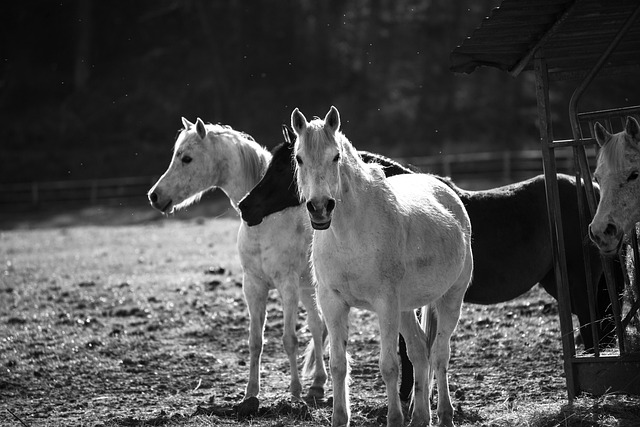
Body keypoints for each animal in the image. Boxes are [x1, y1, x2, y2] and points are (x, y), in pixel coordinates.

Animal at [147, 117, 328, 415]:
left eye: (186, 158)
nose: (155, 196)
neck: (267, 219)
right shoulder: (253, 286)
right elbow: (255, 342)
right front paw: (250, 396)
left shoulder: (286, 285)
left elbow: (289, 339)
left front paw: (294, 395)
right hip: (305, 285)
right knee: (317, 326)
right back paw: (318, 384)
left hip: (306, 286)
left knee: (318, 328)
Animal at [239, 127, 617, 403]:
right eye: (296, 161)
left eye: (283, 166)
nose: (246, 207)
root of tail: (593, 189)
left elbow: (406, 355)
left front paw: (407, 400)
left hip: (579, 286)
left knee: (595, 330)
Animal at [293, 106, 473, 427]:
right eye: (300, 157)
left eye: (336, 156)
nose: (320, 207)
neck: (351, 233)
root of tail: (448, 193)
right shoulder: (332, 302)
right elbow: (338, 364)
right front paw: (339, 418)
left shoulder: (385, 303)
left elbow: (389, 365)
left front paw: (394, 418)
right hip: (405, 309)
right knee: (420, 352)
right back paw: (420, 417)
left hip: (450, 298)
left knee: (440, 355)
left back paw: (444, 414)